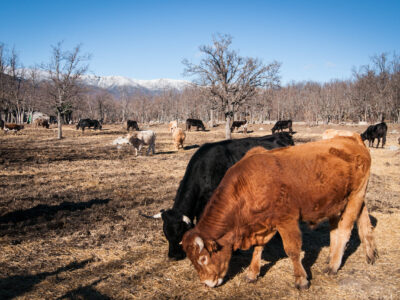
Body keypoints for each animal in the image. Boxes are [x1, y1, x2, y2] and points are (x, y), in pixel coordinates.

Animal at [183, 135, 376, 288]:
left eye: (203, 259)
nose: (207, 283)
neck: (247, 183)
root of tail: (352, 138)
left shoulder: (286, 220)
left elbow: (292, 250)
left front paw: (301, 280)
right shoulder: (263, 223)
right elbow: (258, 248)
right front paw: (252, 274)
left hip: (355, 195)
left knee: (344, 230)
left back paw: (333, 265)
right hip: (343, 200)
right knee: (357, 221)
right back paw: (368, 253)